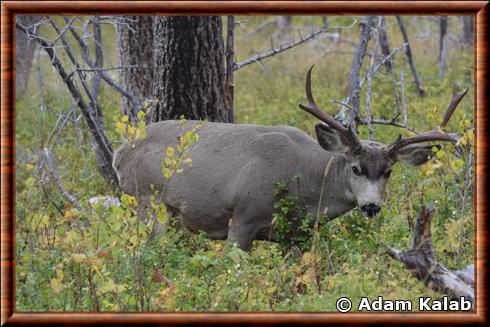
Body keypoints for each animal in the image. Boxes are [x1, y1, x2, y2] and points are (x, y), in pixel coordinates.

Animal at [112, 66, 468, 251]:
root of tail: (121, 151)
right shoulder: (242, 216)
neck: (303, 182)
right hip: (147, 201)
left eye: (389, 172)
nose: (371, 207)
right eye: (355, 168)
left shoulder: (294, 235)